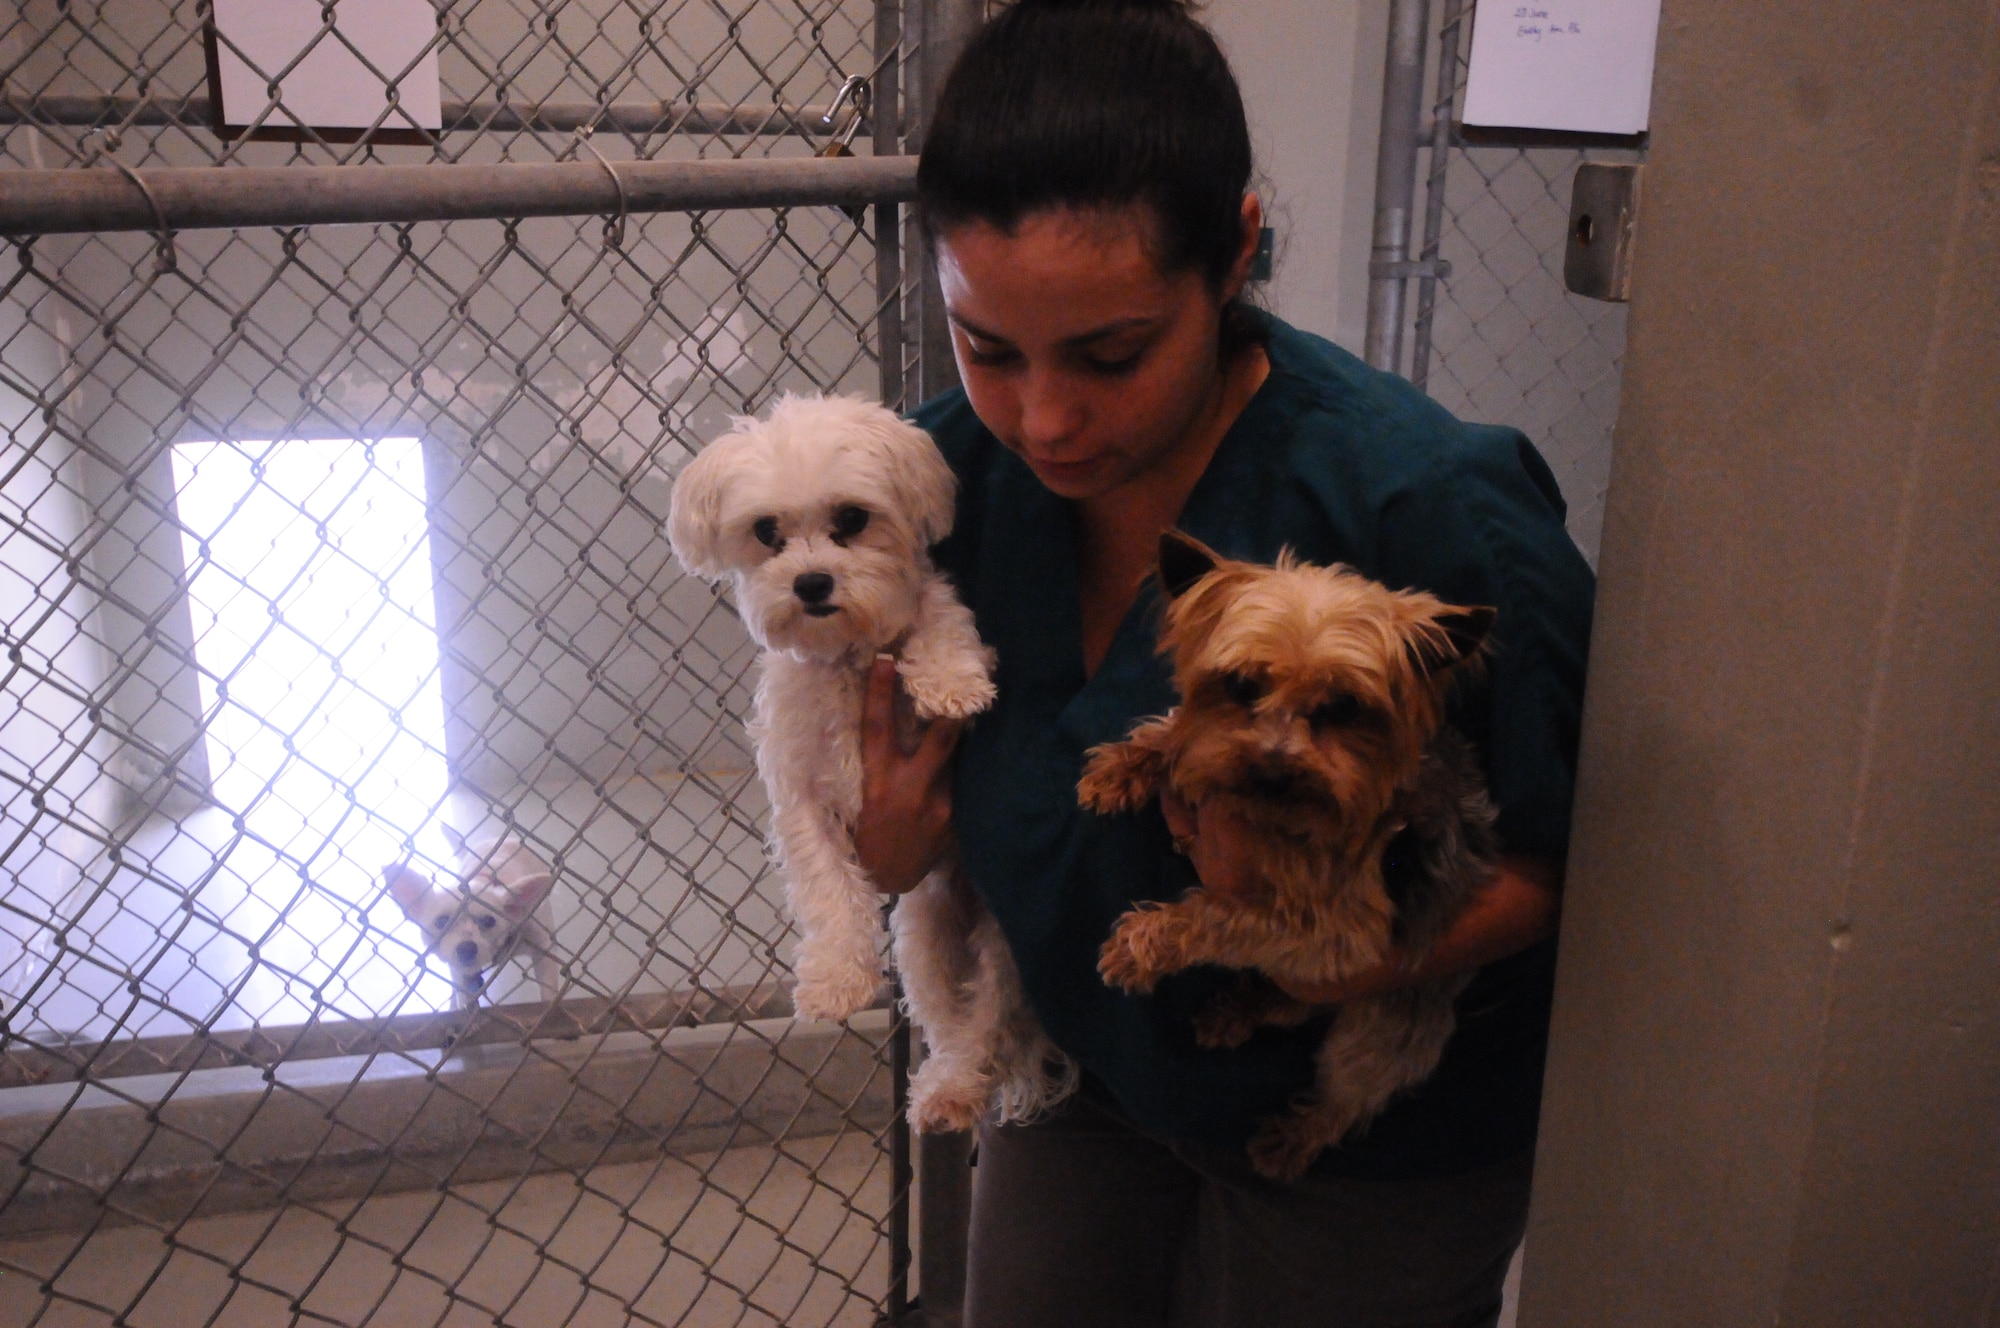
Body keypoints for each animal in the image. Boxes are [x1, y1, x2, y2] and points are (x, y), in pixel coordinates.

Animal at [668, 394, 1080, 1128]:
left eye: (853, 519)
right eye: (766, 531)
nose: (811, 582)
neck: (852, 658)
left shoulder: (935, 614)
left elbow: (939, 621)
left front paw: (948, 679)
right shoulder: (800, 795)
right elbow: (829, 887)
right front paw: (836, 978)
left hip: (999, 945)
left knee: (984, 1021)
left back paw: (951, 1087)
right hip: (921, 937)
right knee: (951, 1022)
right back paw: (946, 1091)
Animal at [1080, 536, 1504, 1176]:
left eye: (1343, 707)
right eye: (1242, 686)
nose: (1273, 769)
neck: (1275, 817)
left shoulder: (1341, 929)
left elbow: (1225, 915)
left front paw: (1141, 945)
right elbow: (1180, 735)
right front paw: (1126, 767)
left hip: (1385, 1023)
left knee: (1349, 1090)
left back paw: (1292, 1139)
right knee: (1294, 1003)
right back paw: (1240, 1010)